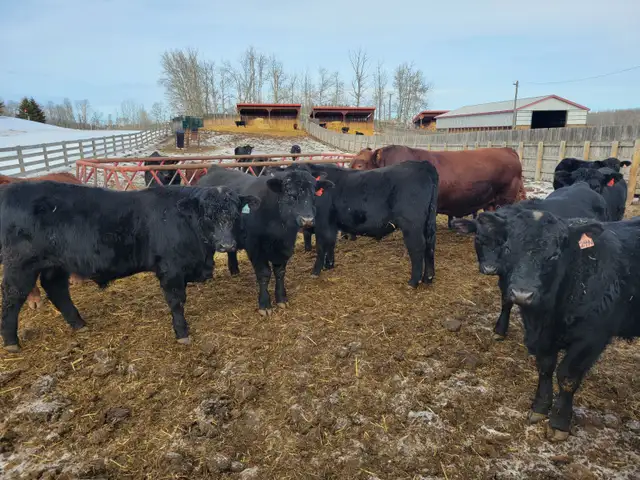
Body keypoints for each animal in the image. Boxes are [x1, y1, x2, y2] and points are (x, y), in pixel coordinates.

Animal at [197, 165, 333, 315]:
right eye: (289, 193)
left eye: (314, 194)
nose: (307, 220)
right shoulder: (255, 247)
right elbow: (264, 274)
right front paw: (265, 304)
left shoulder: (285, 246)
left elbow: (280, 272)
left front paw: (281, 298)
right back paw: (207, 275)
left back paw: (234, 270)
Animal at [276, 161, 439, 287]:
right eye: (287, 186)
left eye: (309, 187)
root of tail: (422, 164)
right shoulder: (331, 224)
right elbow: (331, 244)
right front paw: (329, 265)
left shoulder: (323, 223)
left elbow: (321, 246)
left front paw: (316, 271)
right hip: (428, 223)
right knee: (430, 245)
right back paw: (428, 278)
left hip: (412, 224)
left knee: (418, 247)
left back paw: (413, 281)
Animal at [453, 180, 612, 341]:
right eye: (478, 239)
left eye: (502, 243)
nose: (490, 268)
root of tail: (582, 184)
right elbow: (506, 299)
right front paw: (500, 328)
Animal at [469, 209, 640, 441]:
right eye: (508, 249)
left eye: (554, 256)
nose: (522, 293)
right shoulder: (541, 336)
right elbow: (545, 367)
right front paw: (540, 407)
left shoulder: (592, 338)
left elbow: (567, 377)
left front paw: (560, 422)